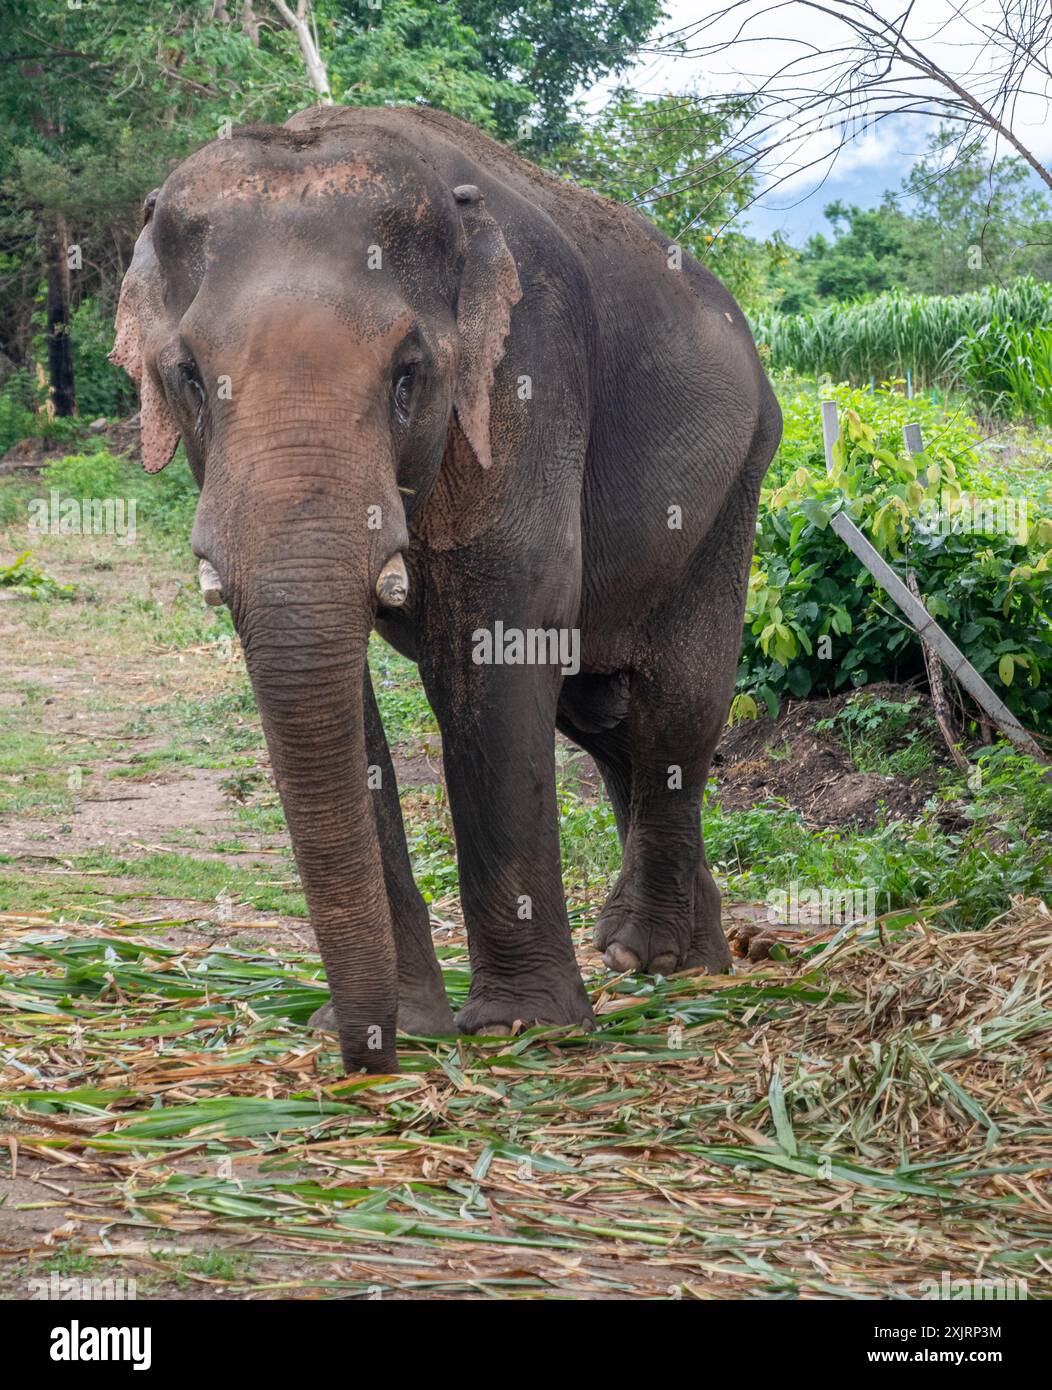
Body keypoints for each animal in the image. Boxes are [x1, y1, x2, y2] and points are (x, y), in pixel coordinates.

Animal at [110, 102, 778, 1073]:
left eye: (408, 375)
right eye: (190, 376)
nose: (367, 1056)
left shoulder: (528, 376)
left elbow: (495, 641)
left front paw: (521, 1027)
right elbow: (336, 685)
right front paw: (405, 1023)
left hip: (736, 484)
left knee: (681, 705)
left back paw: (647, 957)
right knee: (608, 720)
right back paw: (689, 955)